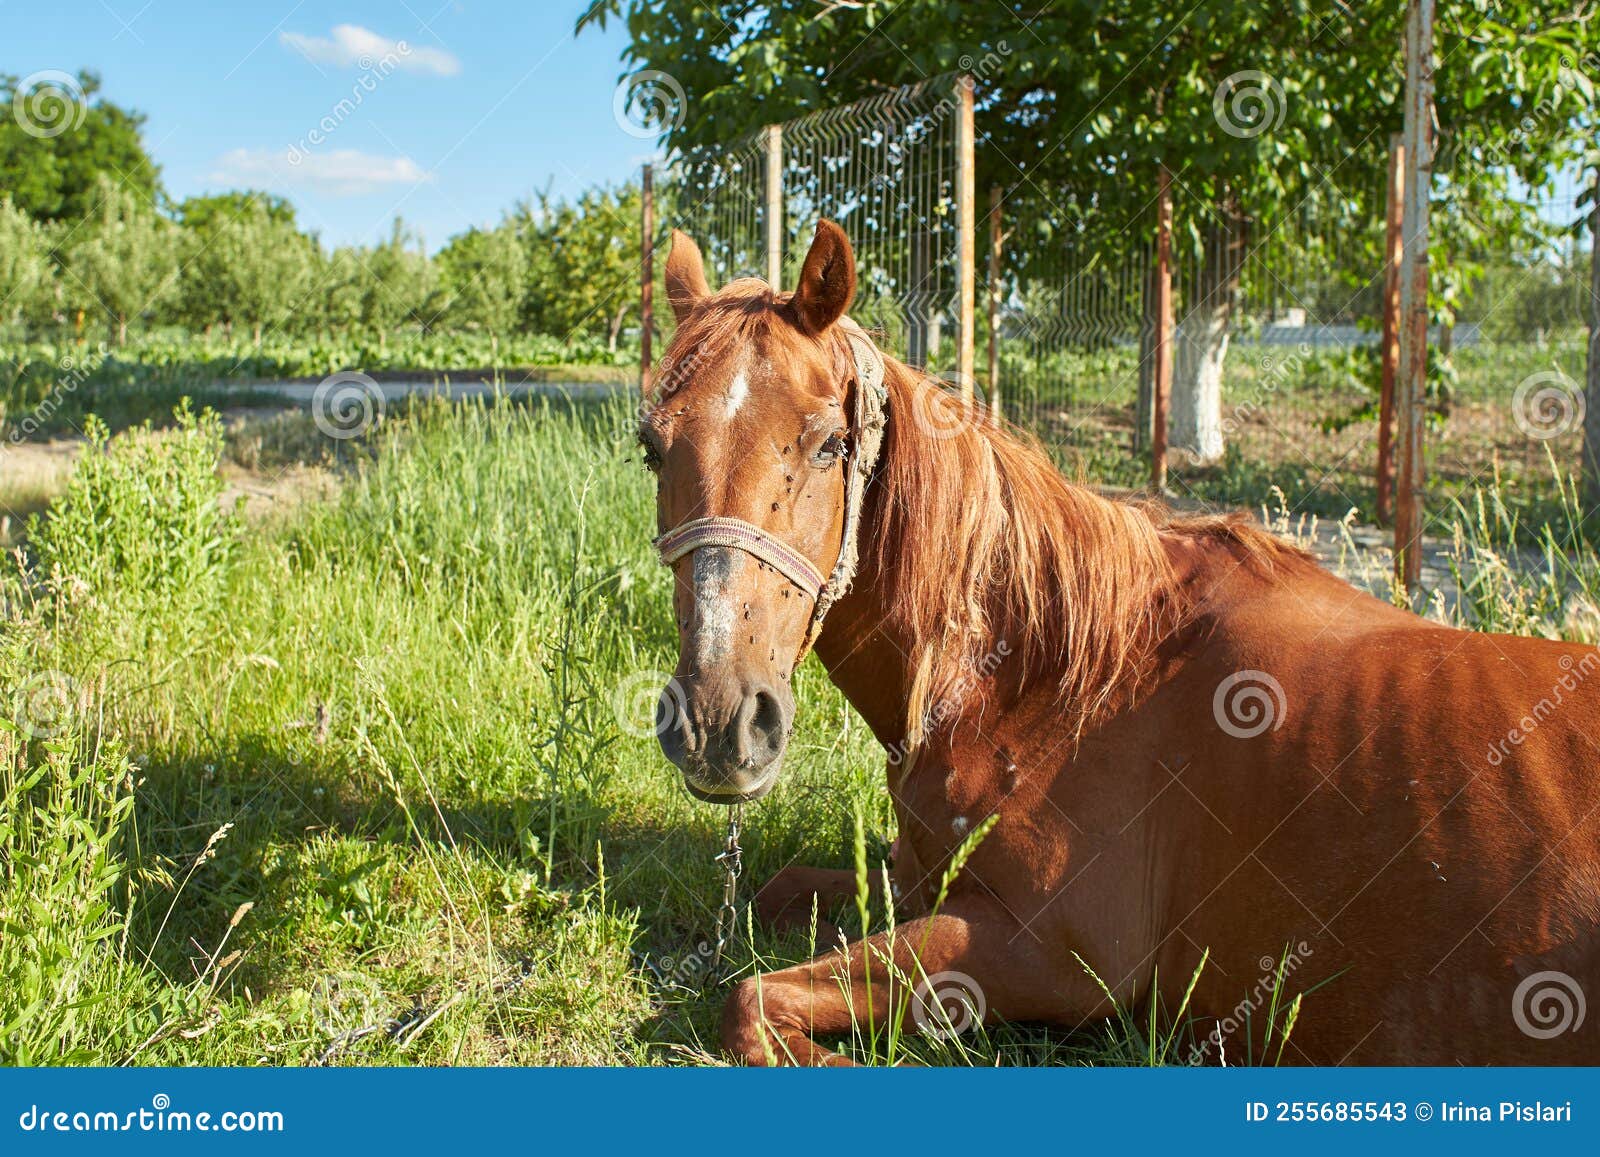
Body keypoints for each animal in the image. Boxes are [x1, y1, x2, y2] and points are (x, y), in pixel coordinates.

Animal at [640, 218, 1600, 1065]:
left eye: (831, 443)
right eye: (653, 447)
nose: (720, 721)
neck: (1058, 677)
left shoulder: (1045, 955)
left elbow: (749, 1000)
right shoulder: (919, 882)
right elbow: (776, 896)